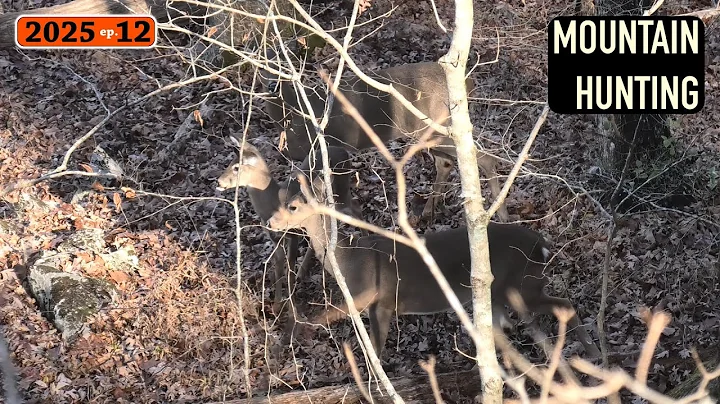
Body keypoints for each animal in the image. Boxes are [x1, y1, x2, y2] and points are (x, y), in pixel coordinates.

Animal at [216, 137, 363, 313]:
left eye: (236, 167)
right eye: (230, 162)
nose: (219, 181)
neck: (274, 202)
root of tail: (344, 151)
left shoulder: (293, 234)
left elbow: (290, 267)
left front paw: (292, 305)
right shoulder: (275, 237)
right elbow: (279, 266)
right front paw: (277, 304)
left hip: (342, 194)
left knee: (356, 208)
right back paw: (303, 270)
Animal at [260, 52, 510, 223]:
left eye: (280, 65)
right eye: (260, 66)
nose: (271, 85)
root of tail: (469, 83)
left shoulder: (327, 149)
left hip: (439, 127)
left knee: (484, 157)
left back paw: (501, 214)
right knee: (447, 162)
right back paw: (428, 210)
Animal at [268, 173, 602, 359]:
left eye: (293, 206)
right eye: (281, 200)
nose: (270, 221)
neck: (349, 260)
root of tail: (542, 244)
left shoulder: (375, 298)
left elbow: (339, 326)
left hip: (521, 285)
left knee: (563, 304)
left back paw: (595, 353)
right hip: (506, 290)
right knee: (512, 325)